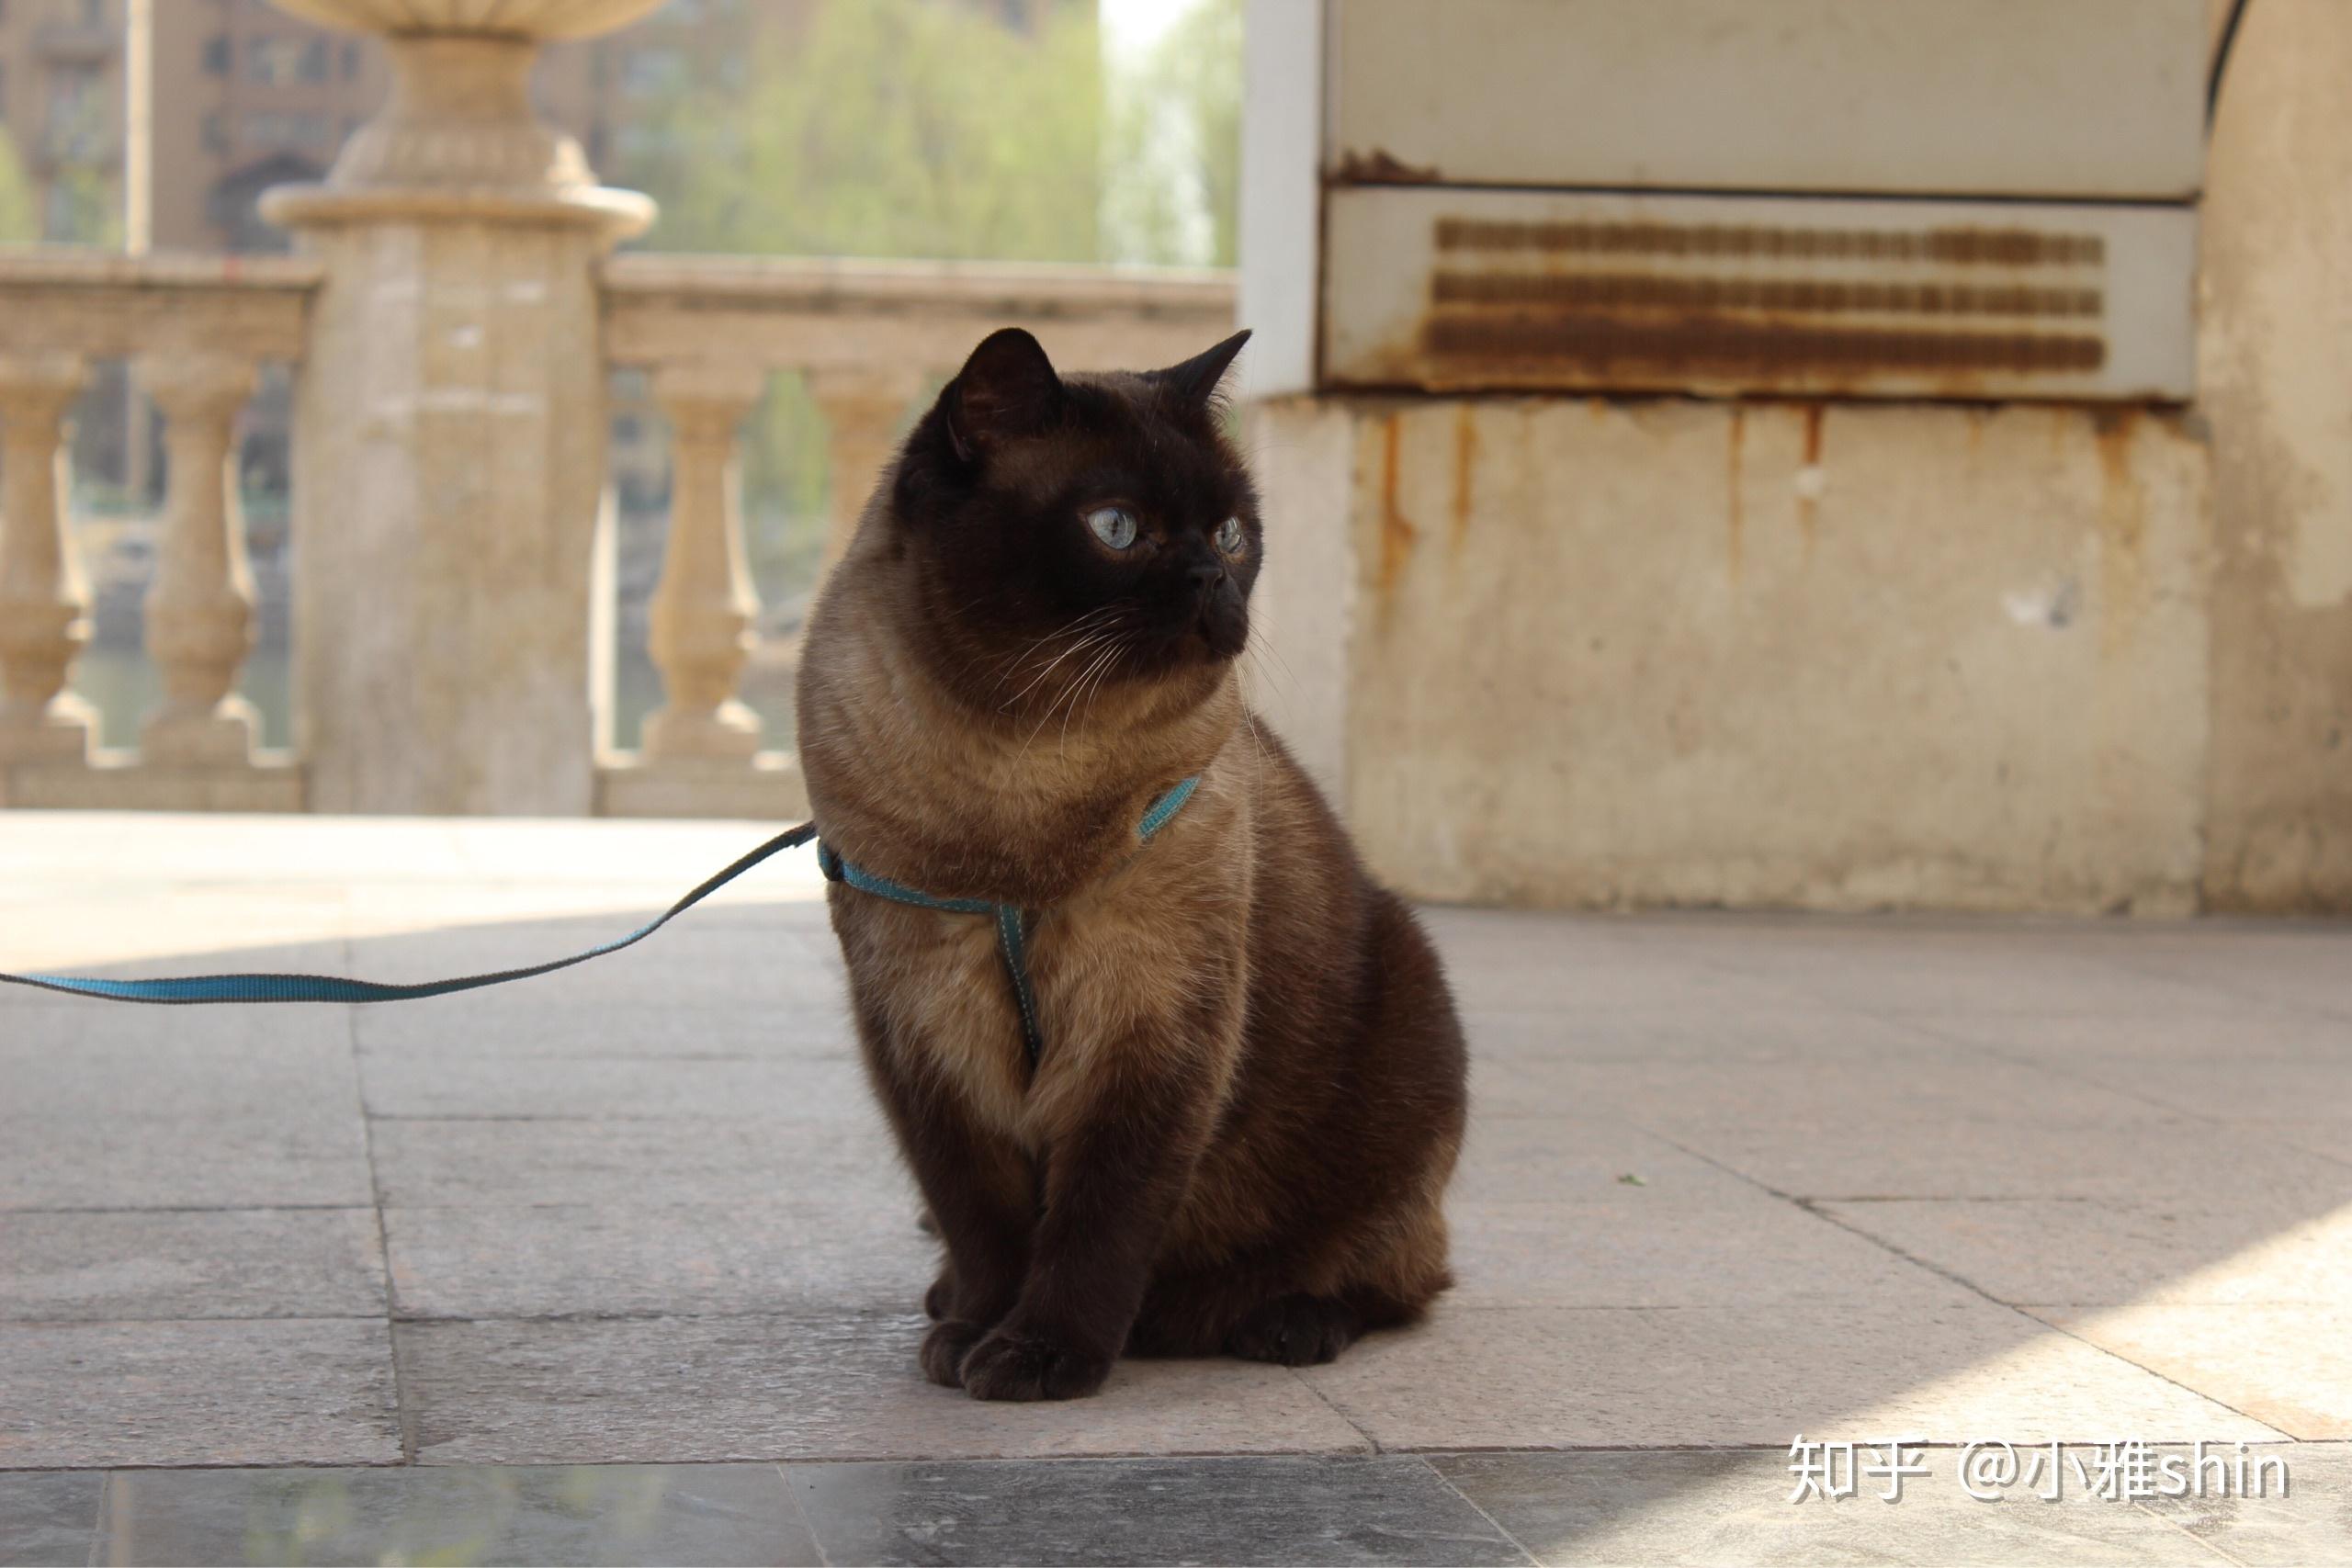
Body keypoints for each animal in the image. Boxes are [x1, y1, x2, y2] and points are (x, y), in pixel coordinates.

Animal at [799, 324, 1458, 1401]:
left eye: (1231, 535)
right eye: (1116, 529)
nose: (1212, 581)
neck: (1021, 765)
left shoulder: (1147, 1026)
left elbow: (1098, 1218)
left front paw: (1039, 1358)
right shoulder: (924, 1030)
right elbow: (981, 1218)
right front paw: (972, 1338)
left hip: (1409, 1040)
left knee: (1397, 1284)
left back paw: (1276, 1324)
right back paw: (953, 1306)